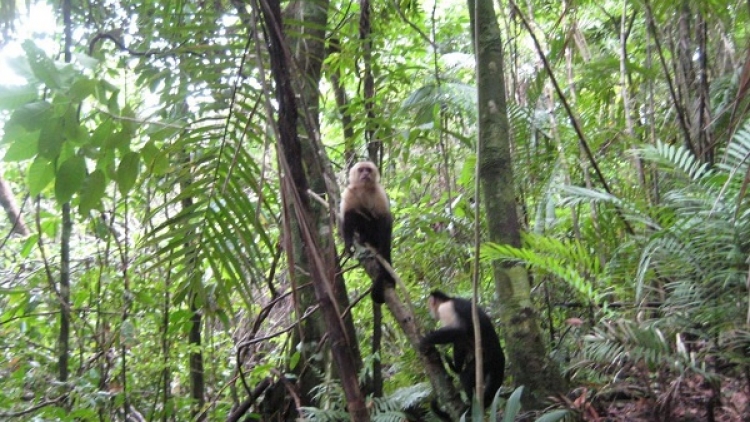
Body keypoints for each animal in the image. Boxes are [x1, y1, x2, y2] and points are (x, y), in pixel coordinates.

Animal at [342, 162, 396, 304]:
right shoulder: (349, 192)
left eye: (368, 170)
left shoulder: (378, 192)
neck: (364, 189)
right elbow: (347, 216)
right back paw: (363, 237)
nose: (365, 174)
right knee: (357, 213)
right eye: (361, 170)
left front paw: (382, 248)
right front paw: (348, 244)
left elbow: (385, 219)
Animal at [420, 290, 508, 418]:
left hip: (486, 360)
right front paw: (455, 367)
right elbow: (460, 339)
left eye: (429, 305)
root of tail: (500, 356)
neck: (448, 299)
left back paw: (473, 406)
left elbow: (459, 330)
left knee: (466, 377)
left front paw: (426, 339)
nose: (429, 310)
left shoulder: (445, 308)